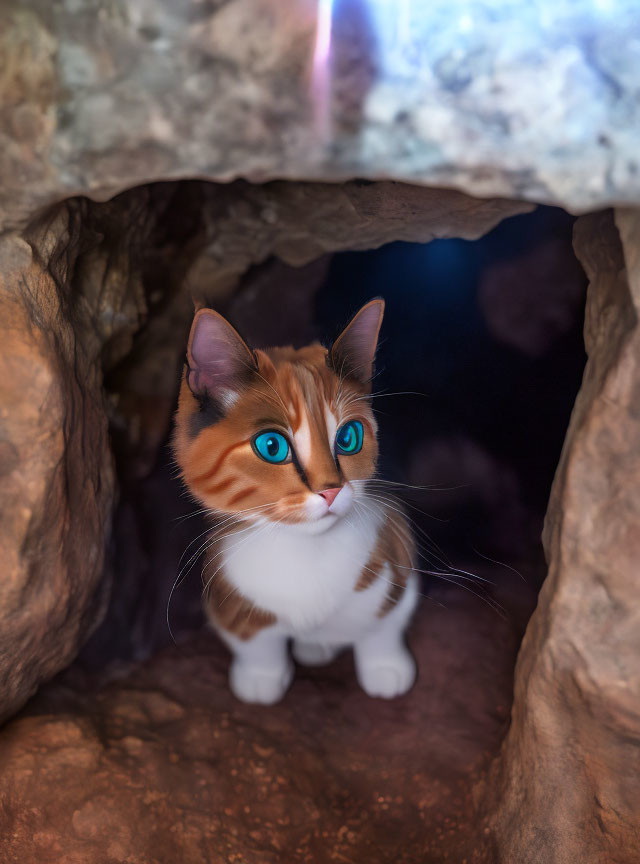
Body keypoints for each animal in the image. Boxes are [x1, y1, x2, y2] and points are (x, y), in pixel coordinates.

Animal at [172, 298, 418, 704]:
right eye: (272, 446)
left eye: (349, 437)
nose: (331, 490)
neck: (305, 550)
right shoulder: (227, 589)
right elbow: (253, 640)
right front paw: (260, 678)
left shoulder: (394, 551)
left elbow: (382, 624)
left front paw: (385, 667)